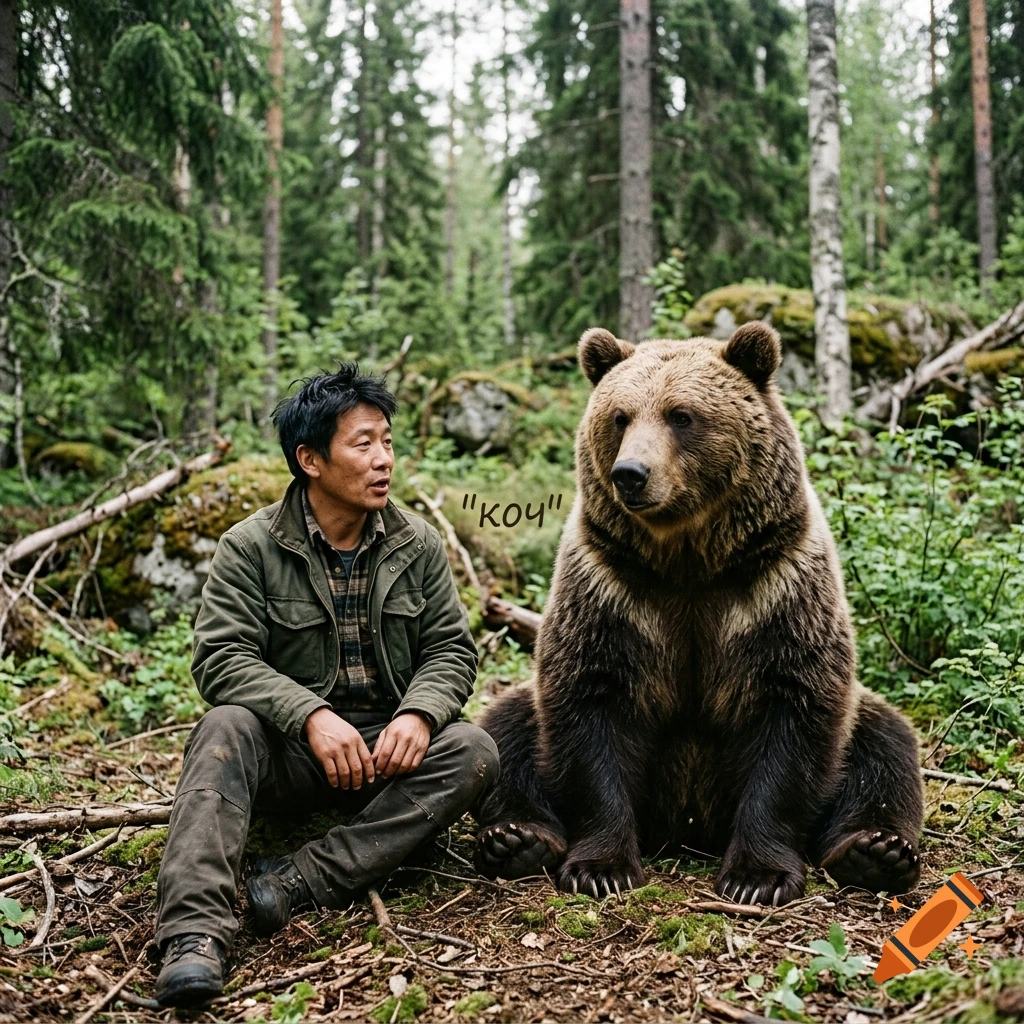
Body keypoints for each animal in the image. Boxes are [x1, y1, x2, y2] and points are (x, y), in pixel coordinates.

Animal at [473, 321, 924, 906]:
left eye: (681, 415)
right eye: (620, 416)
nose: (630, 474)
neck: (688, 559)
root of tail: (687, 829)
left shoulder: (774, 587)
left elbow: (793, 709)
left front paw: (757, 877)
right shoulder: (612, 589)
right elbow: (589, 706)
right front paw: (603, 867)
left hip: (855, 717)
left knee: (884, 744)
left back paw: (877, 851)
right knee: (507, 730)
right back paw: (517, 838)